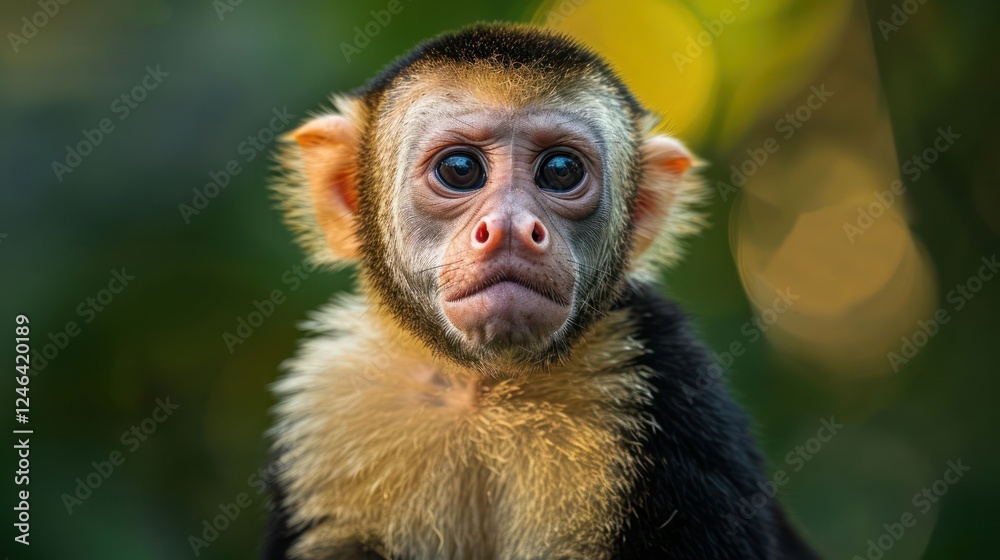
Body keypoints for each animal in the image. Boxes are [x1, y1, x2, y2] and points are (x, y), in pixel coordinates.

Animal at [263, 23, 818, 560]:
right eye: (460, 169)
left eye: (560, 171)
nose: (510, 228)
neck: (484, 390)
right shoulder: (331, 401)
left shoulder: (662, 379)